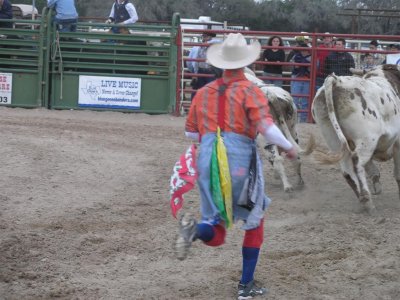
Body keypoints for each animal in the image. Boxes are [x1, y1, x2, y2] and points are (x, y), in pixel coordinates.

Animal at [310, 64, 400, 212]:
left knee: (347, 169)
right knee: (357, 161)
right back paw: (367, 201)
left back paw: (362, 198)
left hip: (333, 138)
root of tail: (336, 81)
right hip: (367, 139)